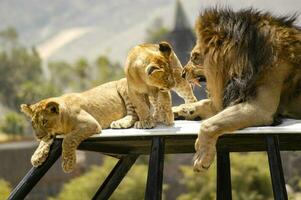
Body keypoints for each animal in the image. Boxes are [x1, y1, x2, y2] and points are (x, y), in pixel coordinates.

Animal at [172, 7, 298, 172]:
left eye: (195, 57)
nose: (182, 73)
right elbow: (204, 103)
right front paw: (179, 110)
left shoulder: (259, 108)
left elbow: (209, 124)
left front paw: (202, 157)